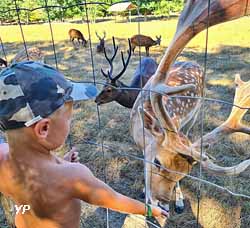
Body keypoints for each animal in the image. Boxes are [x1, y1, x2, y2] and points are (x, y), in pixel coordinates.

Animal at [130, 0, 250, 221]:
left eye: (183, 174)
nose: (163, 204)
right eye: (158, 162)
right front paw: (144, 192)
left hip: (195, 114)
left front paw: (177, 200)